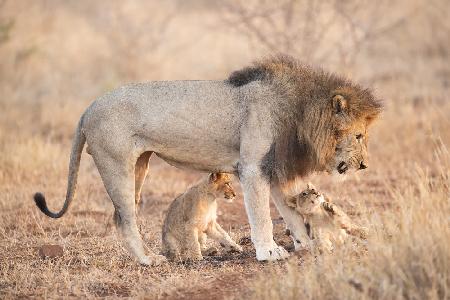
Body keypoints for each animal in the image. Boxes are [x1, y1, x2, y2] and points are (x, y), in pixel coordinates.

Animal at [33, 54, 382, 264]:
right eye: (359, 136)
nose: (365, 165)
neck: (299, 114)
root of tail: (88, 108)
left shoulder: (272, 167)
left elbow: (291, 213)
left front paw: (305, 246)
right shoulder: (252, 168)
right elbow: (263, 216)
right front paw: (268, 251)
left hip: (140, 165)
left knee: (119, 216)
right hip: (116, 163)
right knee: (125, 217)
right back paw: (149, 259)